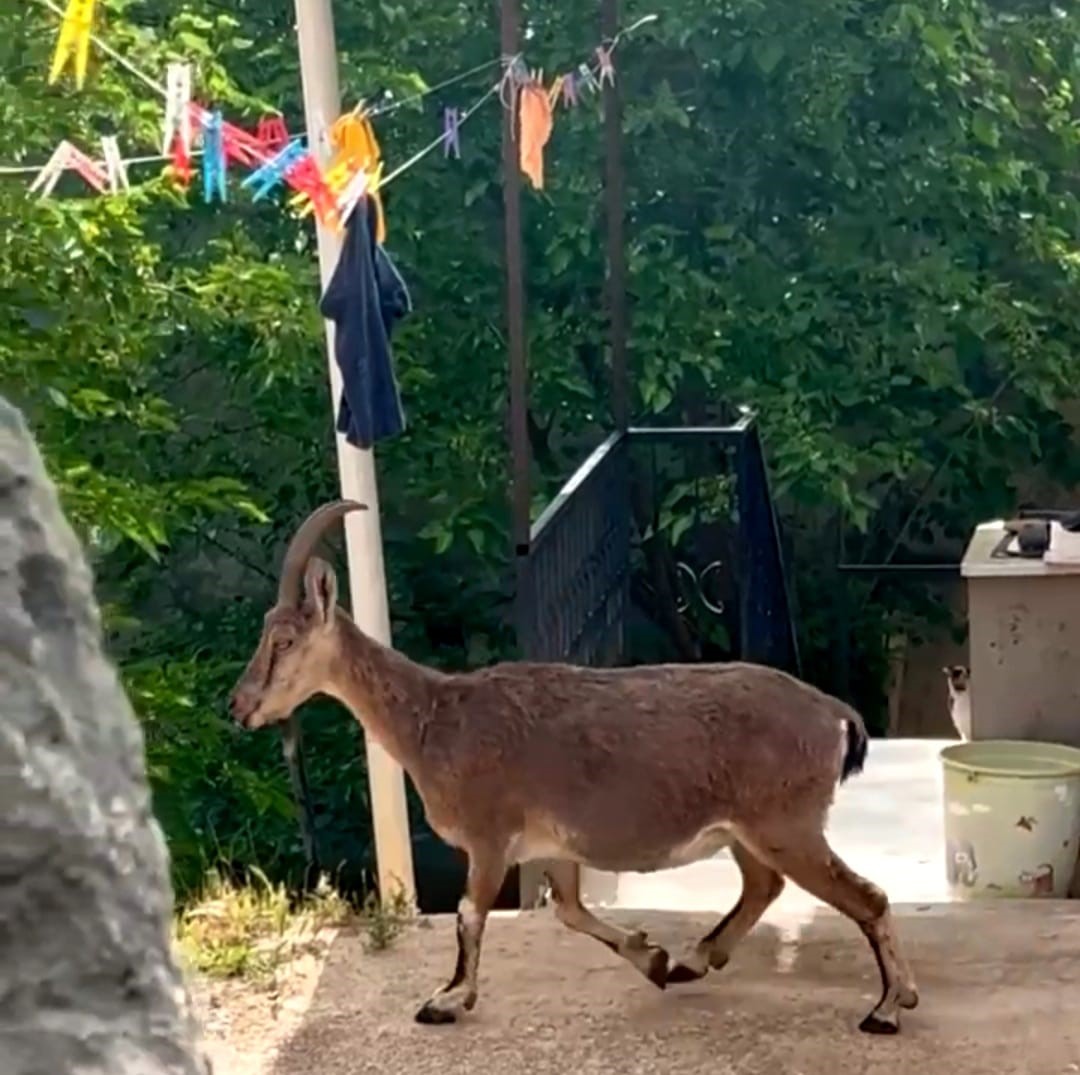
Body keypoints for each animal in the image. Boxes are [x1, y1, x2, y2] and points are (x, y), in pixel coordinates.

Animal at [230, 501, 920, 1032]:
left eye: (283, 641)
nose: (240, 705)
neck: (436, 720)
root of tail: (833, 714)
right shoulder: (552, 846)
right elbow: (569, 910)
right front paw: (652, 958)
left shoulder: (490, 837)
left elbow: (470, 914)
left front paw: (446, 1000)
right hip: (748, 830)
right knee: (764, 886)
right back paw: (695, 961)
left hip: (786, 823)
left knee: (866, 896)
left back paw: (888, 1008)